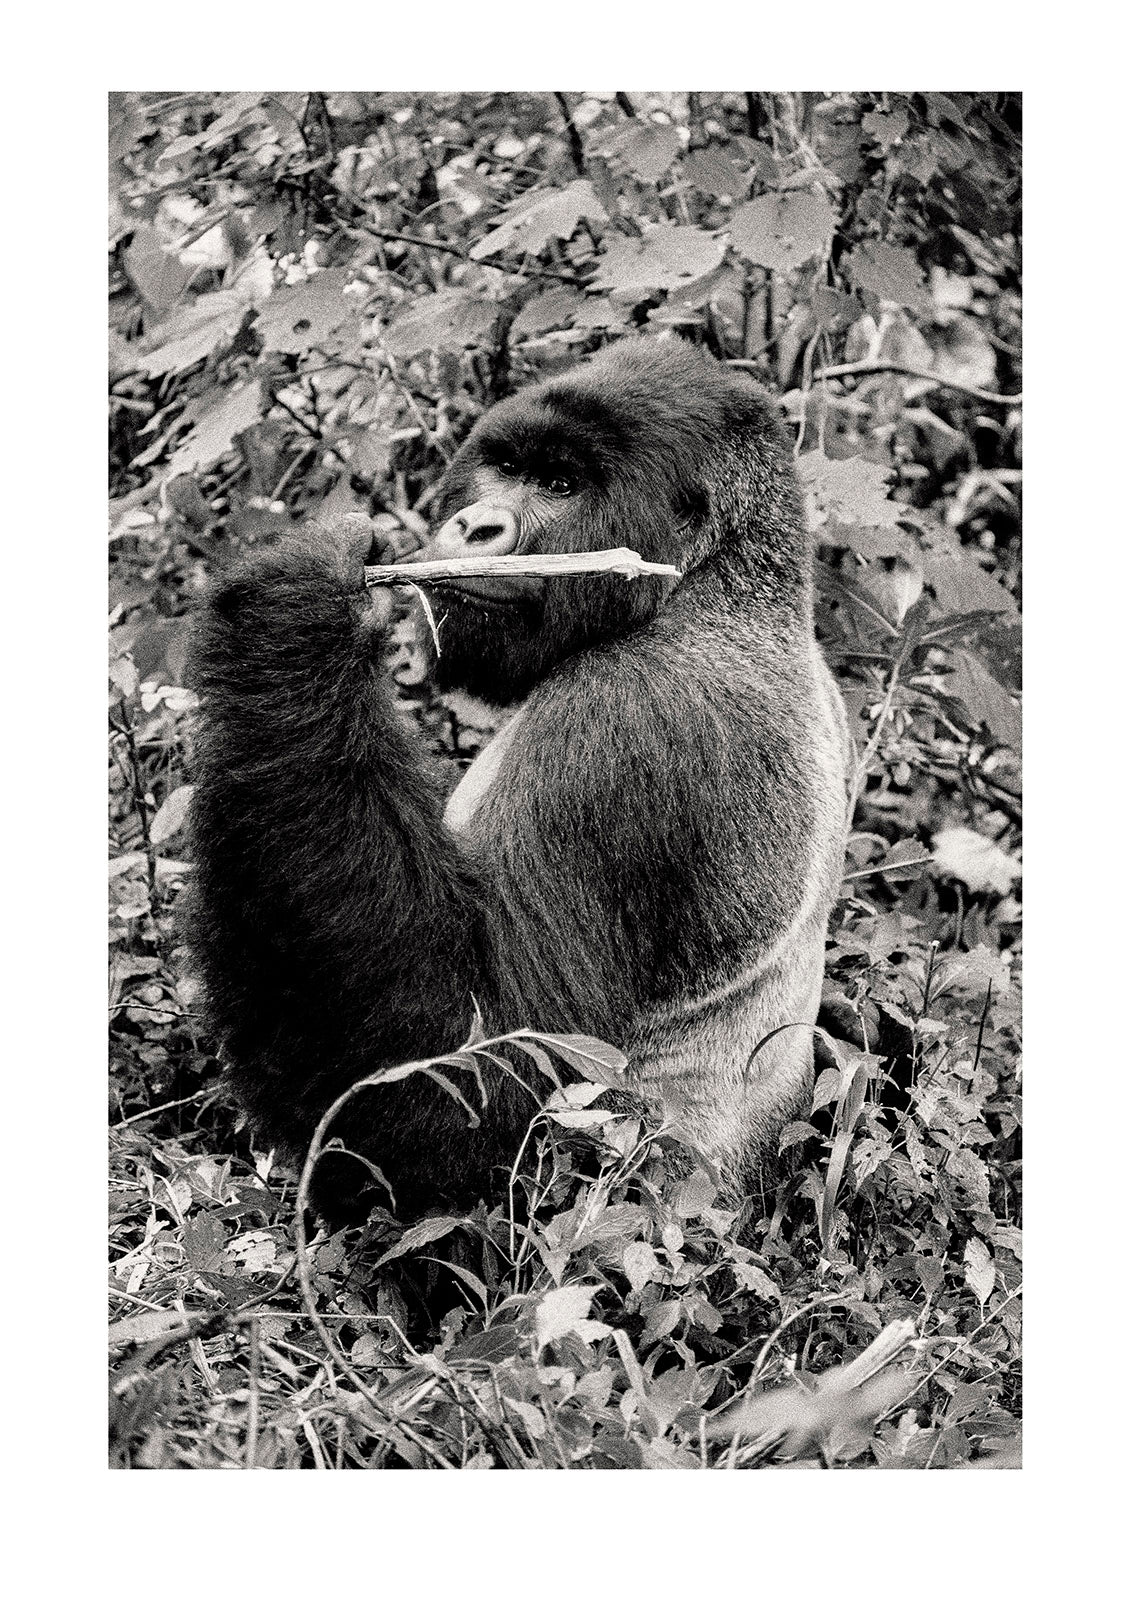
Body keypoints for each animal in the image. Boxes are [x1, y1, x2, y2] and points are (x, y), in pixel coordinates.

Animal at [185, 338, 849, 1220]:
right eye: (503, 468)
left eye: (561, 485)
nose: (475, 524)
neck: (718, 588)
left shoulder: (630, 721)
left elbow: (476, 1070)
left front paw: (292, 613)